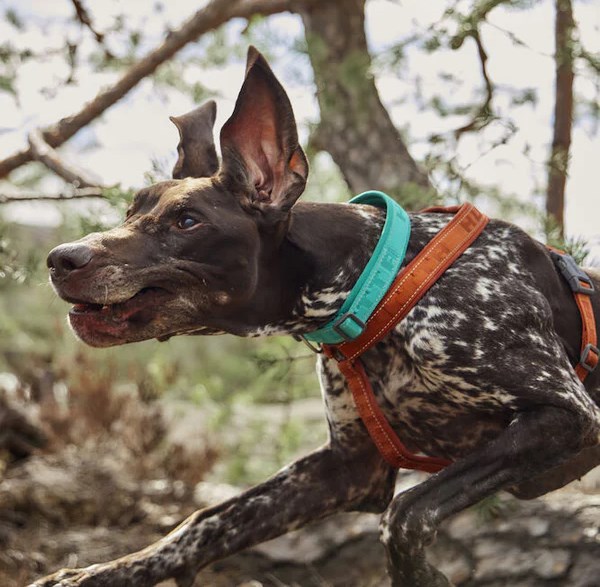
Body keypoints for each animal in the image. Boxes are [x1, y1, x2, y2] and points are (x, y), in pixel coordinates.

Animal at [38, 47, 600, 587]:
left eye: (187, 221)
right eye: (131, 211)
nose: (60, 258)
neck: (379, 285)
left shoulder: (567, 415)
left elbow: (405, 513)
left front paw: (422, 575)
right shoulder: (348, 467)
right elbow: (204, 523)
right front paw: (96, 572)